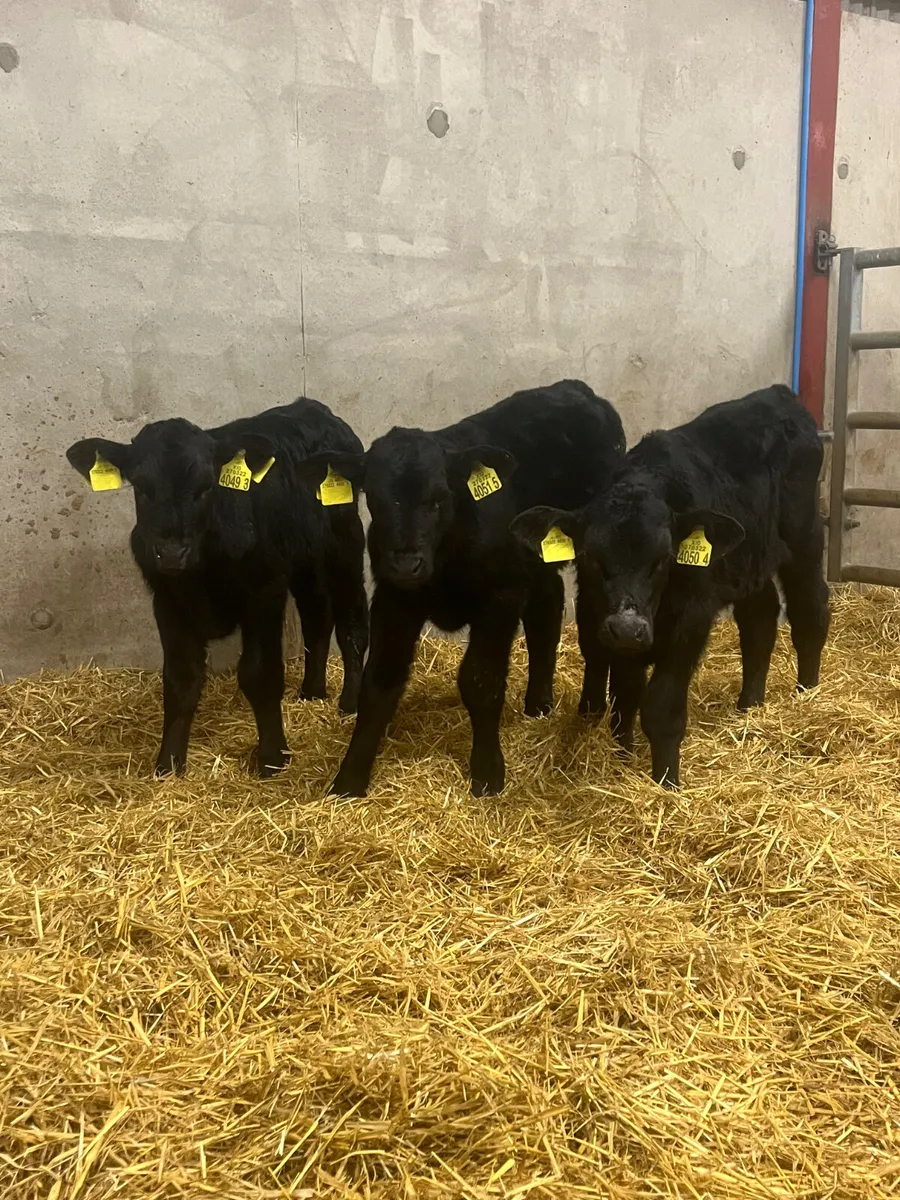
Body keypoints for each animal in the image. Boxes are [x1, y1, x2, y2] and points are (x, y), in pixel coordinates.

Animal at [66, 397, 369, 778]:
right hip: (305, 558)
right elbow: (180, 681)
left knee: (352, 622)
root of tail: (311, 407)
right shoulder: (167, 602)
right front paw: (169, 764)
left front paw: (272, 758)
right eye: (141, 487)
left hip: (345, 542)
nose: (172, 552)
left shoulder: (264, 592)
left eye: (206, 486)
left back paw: (350, 703)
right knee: (317, 617)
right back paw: (312, 693)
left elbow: (259, 673)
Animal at [297, 380, 627, 797]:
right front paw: (350, 777)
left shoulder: (500, 595)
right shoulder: (394, 597)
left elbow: (480, 679)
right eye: (375, 497)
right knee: (547, 609)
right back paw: (538, 702)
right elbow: (380, 681)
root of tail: (575, 388)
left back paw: (589, 708)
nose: (406, 563)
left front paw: (487, 771)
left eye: (439, 498)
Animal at [512, 384, 830, 788]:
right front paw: (623, 758)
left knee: (810, 607)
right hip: (750, 561)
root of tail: (778, 394)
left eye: (663, 558)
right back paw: (750, 704)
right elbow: (624, 697)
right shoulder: (602, 622)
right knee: (760, 620)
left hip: (803, 536)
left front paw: (666, 781)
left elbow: (660, 707)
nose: (627, 627)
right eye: (591, 557)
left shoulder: (688, 623)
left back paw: (808, 693)